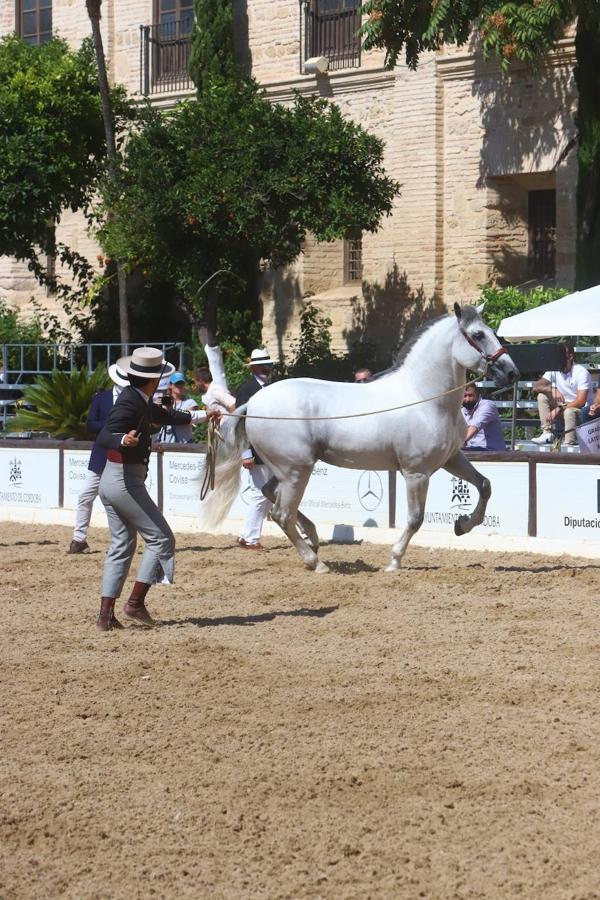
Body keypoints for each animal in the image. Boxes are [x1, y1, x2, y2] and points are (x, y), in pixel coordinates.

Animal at [200, 302, 516, 568]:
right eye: (478, 335)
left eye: (493, 332)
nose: (511, 373)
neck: (424, 397)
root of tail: (253, 404)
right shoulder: (416, 473)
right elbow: (415, 519)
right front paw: (394, 561)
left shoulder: (451, 459)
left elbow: (485, 485)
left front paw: (462, 525)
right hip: (296, 470)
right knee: (281, 513)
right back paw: (315, 562)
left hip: (286, 469)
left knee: (270, 496)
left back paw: (313, 539)